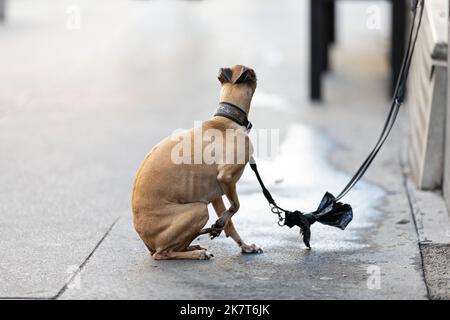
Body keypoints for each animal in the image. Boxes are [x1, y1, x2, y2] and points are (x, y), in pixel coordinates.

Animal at [130, 65, 262, 260]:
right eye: (252, 73)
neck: (226, 120)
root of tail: (147, 243)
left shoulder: (215, 193)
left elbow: (230, 224)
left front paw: (244, 245)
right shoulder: (226, 177)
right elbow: (236, 206)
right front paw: (221, 224)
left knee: (174, 246)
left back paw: (193, 246)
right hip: (198, 210)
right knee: (163, 253)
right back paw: (196, 253)